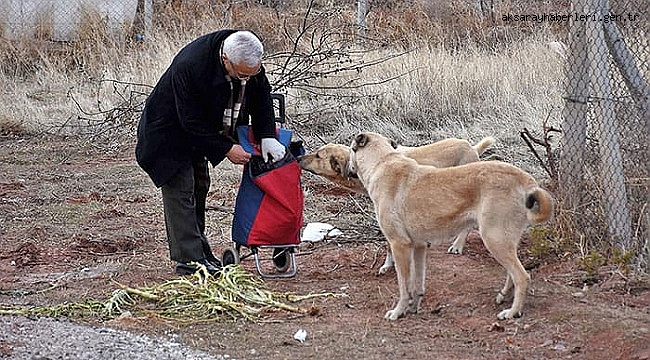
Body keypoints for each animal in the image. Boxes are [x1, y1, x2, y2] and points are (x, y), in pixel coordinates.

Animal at [346, 132, 556, 320]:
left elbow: (404, 287)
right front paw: (413, 308)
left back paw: (513, 312)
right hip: (503, 240)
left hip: (494, 238)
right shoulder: (419, 246)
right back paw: (504, 297)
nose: (347, 169)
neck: (382, 161)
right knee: (512, 273)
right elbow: (417, 285)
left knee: (522, 276)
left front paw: (398, 312)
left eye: (350, 150)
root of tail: (526, 180)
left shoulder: (400, 245)